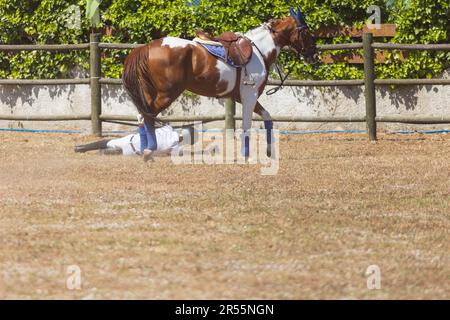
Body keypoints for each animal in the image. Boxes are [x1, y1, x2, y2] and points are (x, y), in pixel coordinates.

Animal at [123, 6, 320, 162]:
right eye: (306, 31)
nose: (314, 55)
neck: (259, 50)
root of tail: (148, 46)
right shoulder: (250, 96)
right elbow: (247, 125)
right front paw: (246, 156)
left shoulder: (242, 97)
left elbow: (267, 117)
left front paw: (269, 151)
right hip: (166, 94)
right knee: (147, 116)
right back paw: (149, 151)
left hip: (151, 93)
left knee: (141, 116)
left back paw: (144, 149)